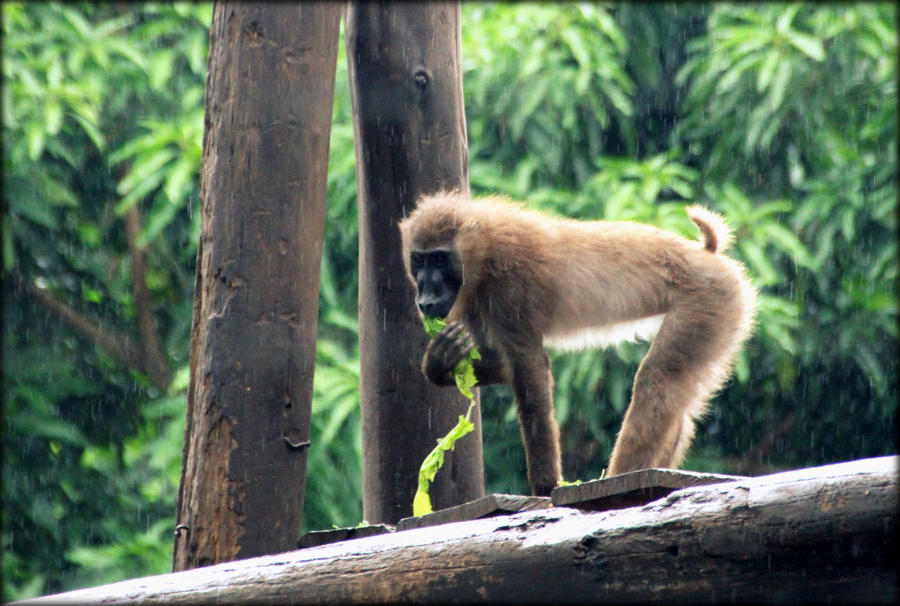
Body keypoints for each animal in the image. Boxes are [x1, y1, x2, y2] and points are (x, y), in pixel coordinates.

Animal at [398, 191, 756, 498]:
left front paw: (545, 487)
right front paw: (440, 363)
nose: (425, 297)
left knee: (658, 380)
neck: (482, 251)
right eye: (419, 260)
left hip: (707, 300)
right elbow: (502, 366)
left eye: (439, 259)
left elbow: (530, 371)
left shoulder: (508, 288)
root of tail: (705, 255)